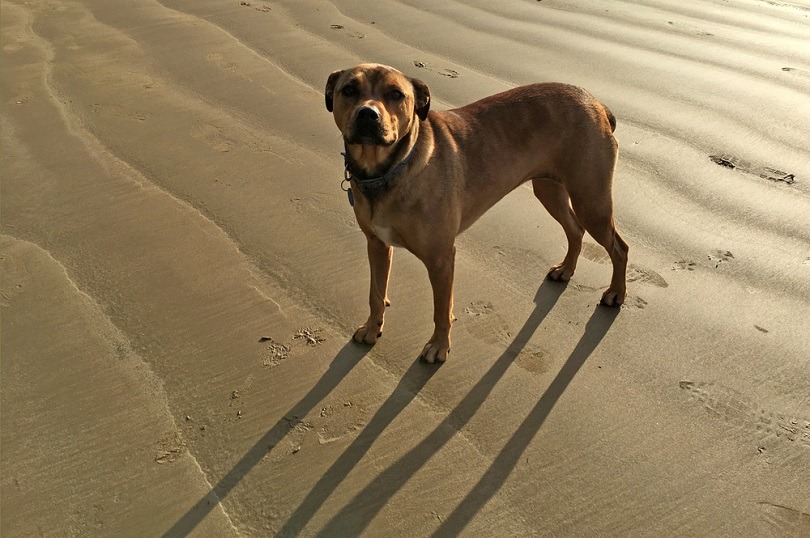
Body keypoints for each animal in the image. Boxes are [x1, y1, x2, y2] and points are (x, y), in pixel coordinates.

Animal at [326, 65, 628, 362]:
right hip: (549, 189)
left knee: (619, 247)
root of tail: (596, 103)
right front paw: (372, 327)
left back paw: (616, 293)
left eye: (395, 94)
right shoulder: (376, 244)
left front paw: (439, 346)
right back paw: (566, 269)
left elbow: (440, 310)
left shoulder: (441, 258)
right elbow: (376, 293)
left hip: (591, 200)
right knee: (575, 229)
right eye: (349, 89)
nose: (367, 114)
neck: (388, 171)